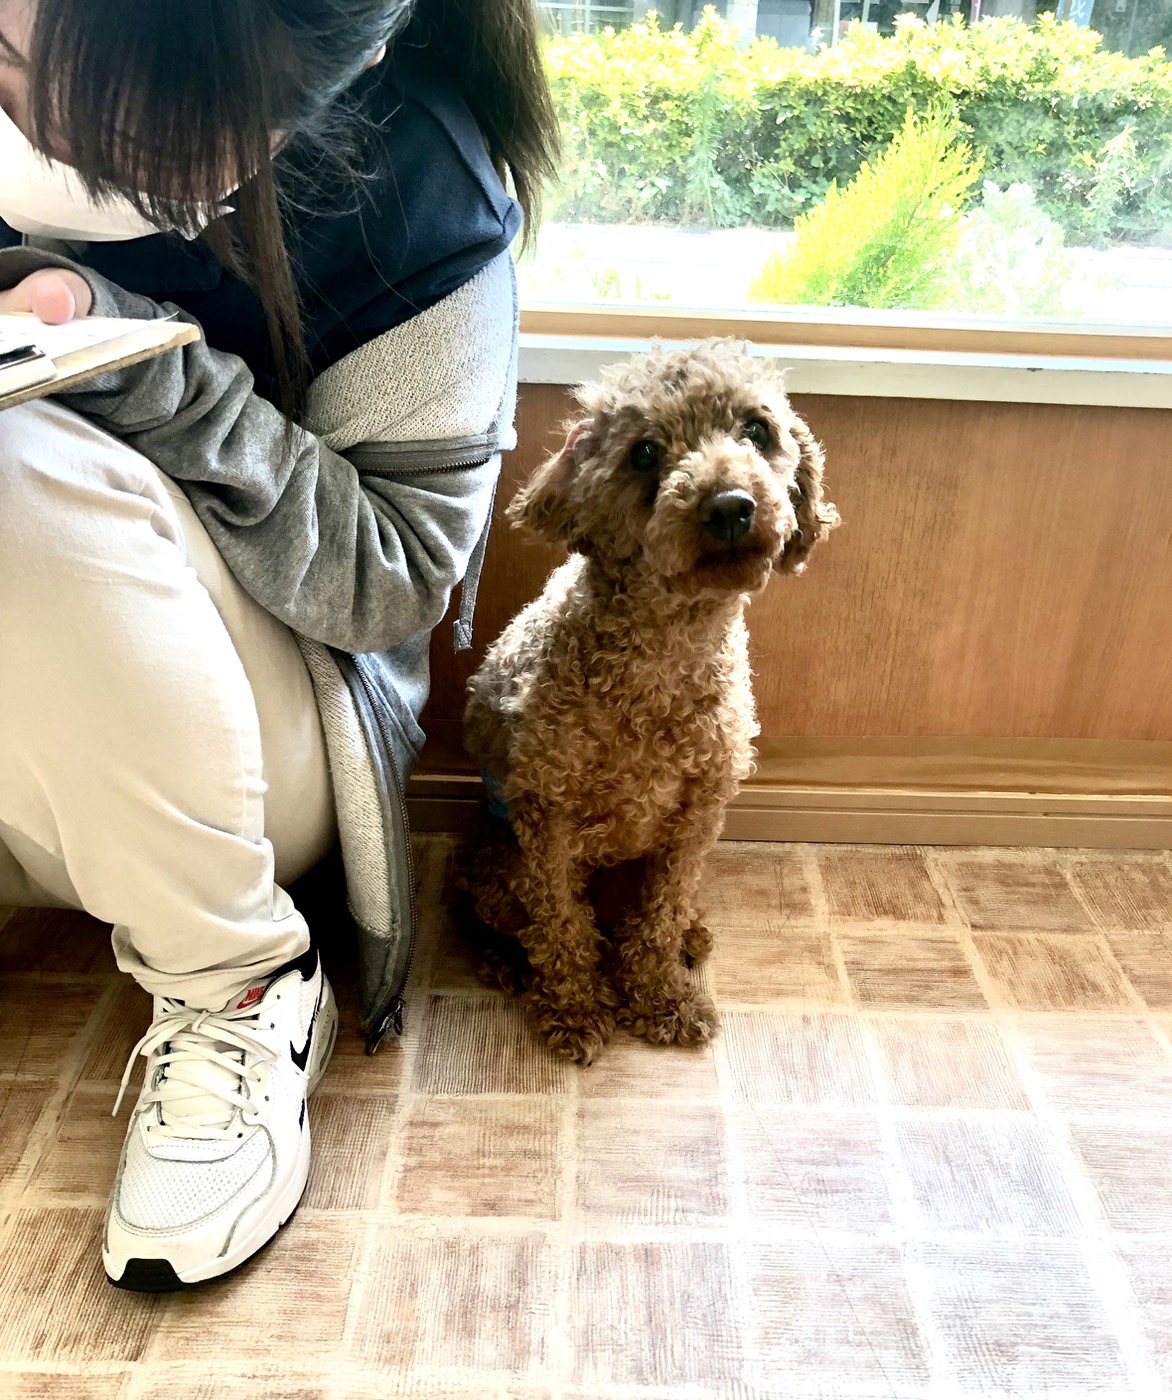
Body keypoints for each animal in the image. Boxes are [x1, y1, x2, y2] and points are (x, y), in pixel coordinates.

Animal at [460, 338, 838, 1064]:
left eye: (757, 431)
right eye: (643, 452)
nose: (729, 505)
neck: (664, 654)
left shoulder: (697, 817)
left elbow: (659, 916)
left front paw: (662, 995)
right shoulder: (547, 817)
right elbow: (561, 924)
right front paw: (574, 1008)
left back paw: (689, 936)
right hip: (497, 865)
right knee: (518, 919)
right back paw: (506, 962)